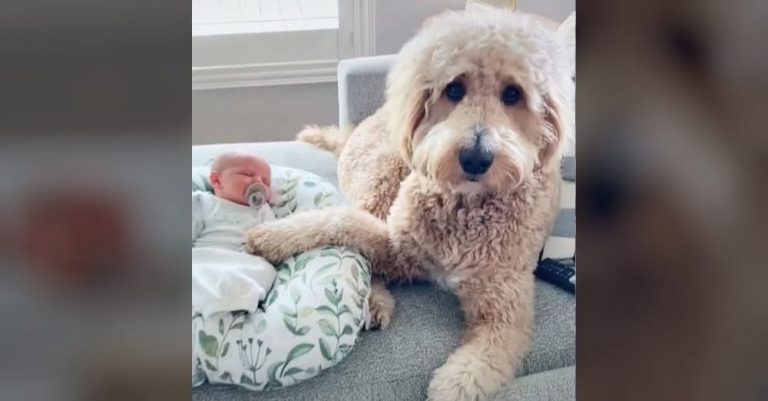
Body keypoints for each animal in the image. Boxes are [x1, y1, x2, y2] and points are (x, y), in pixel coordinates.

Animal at [244, 8, 568, 400]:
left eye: (513, 94)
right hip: (384, 176)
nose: (476, 158)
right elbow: (341, 221)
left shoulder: (504, 313)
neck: (466, 207)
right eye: (454, 88)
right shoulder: (398, 245)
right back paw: (374, 299)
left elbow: (473, 371)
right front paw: (270, 237)